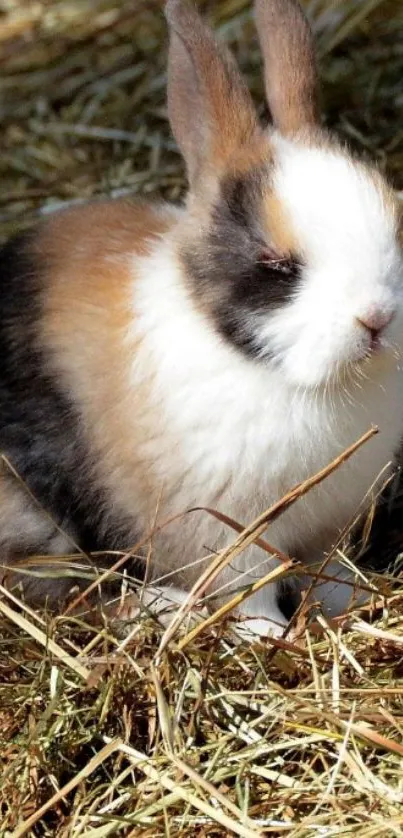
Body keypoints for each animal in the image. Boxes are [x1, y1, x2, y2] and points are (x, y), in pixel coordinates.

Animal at [0, 0, 403, 640]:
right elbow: (248, 594)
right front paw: (270, 637)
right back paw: (159, 606)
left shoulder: (330, 526)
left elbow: (331, 573)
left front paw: (353, 603)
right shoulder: (224, 534)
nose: (376, 319)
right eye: (276, 265)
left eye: (394, 223)